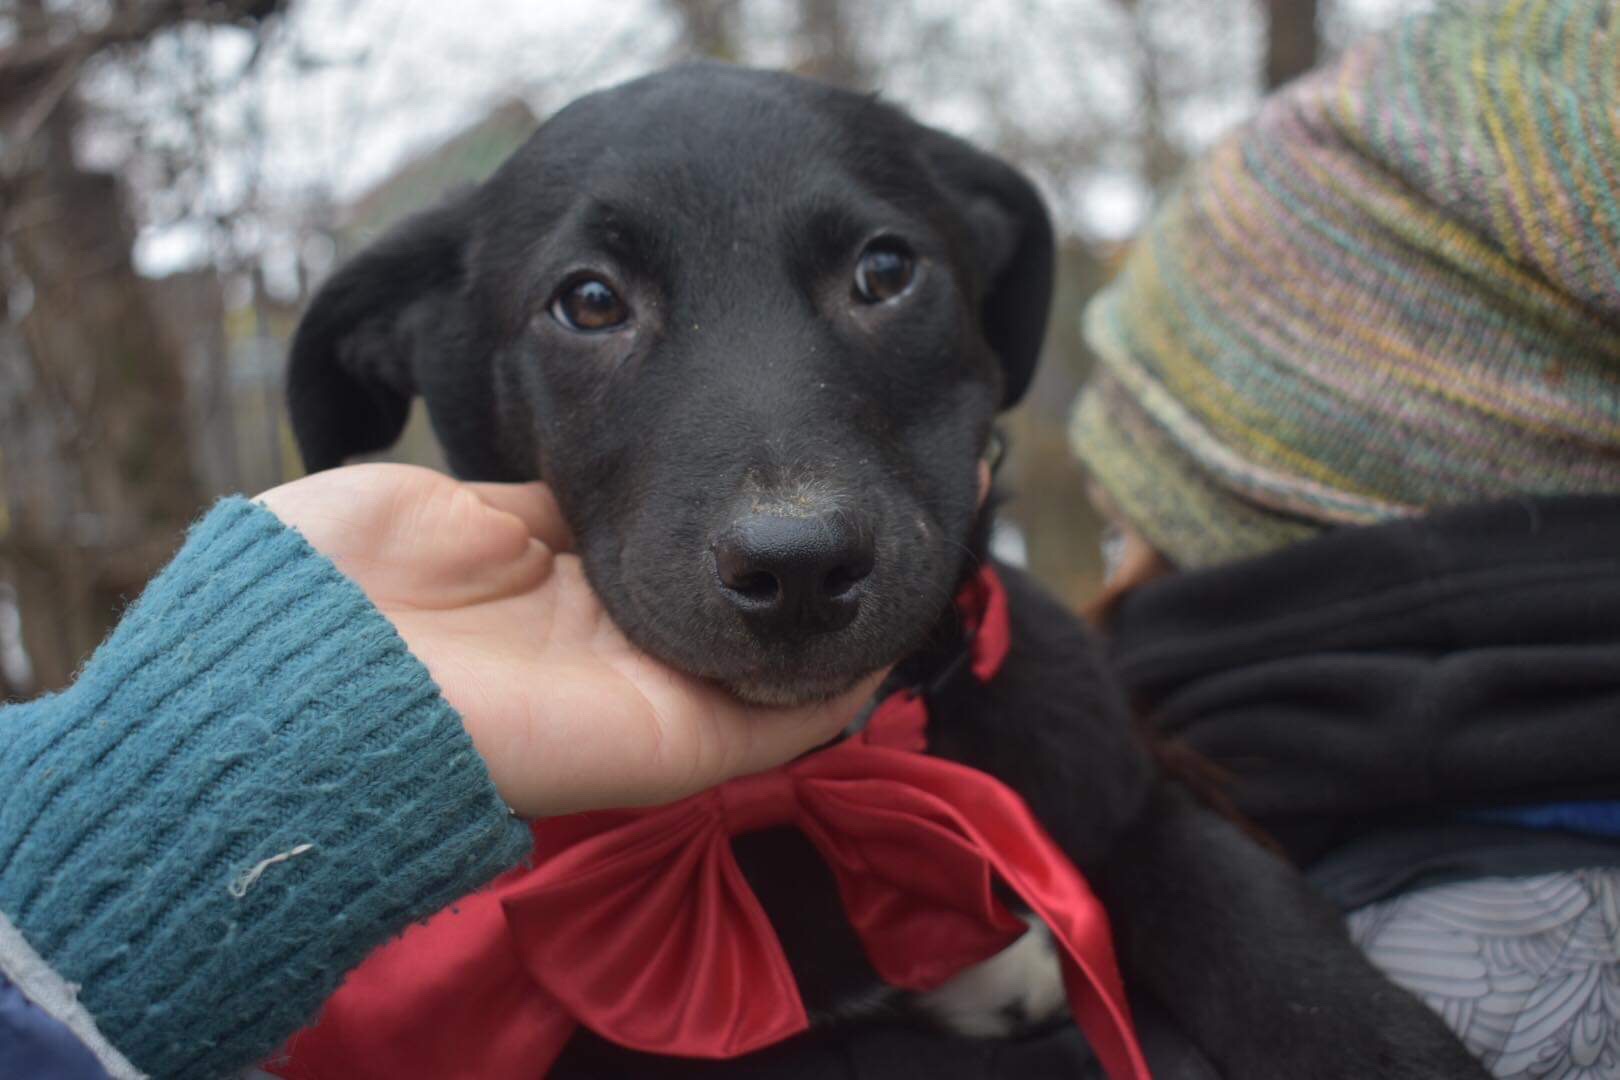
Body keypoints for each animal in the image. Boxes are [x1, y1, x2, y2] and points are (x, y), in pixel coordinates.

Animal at [286, 64, 1487, 1079]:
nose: (798, 568)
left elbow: (1255, 919)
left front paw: (1378, 1039)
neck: (847, 774)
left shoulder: (1129, 796)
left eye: (884, 270)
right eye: (588, 302)